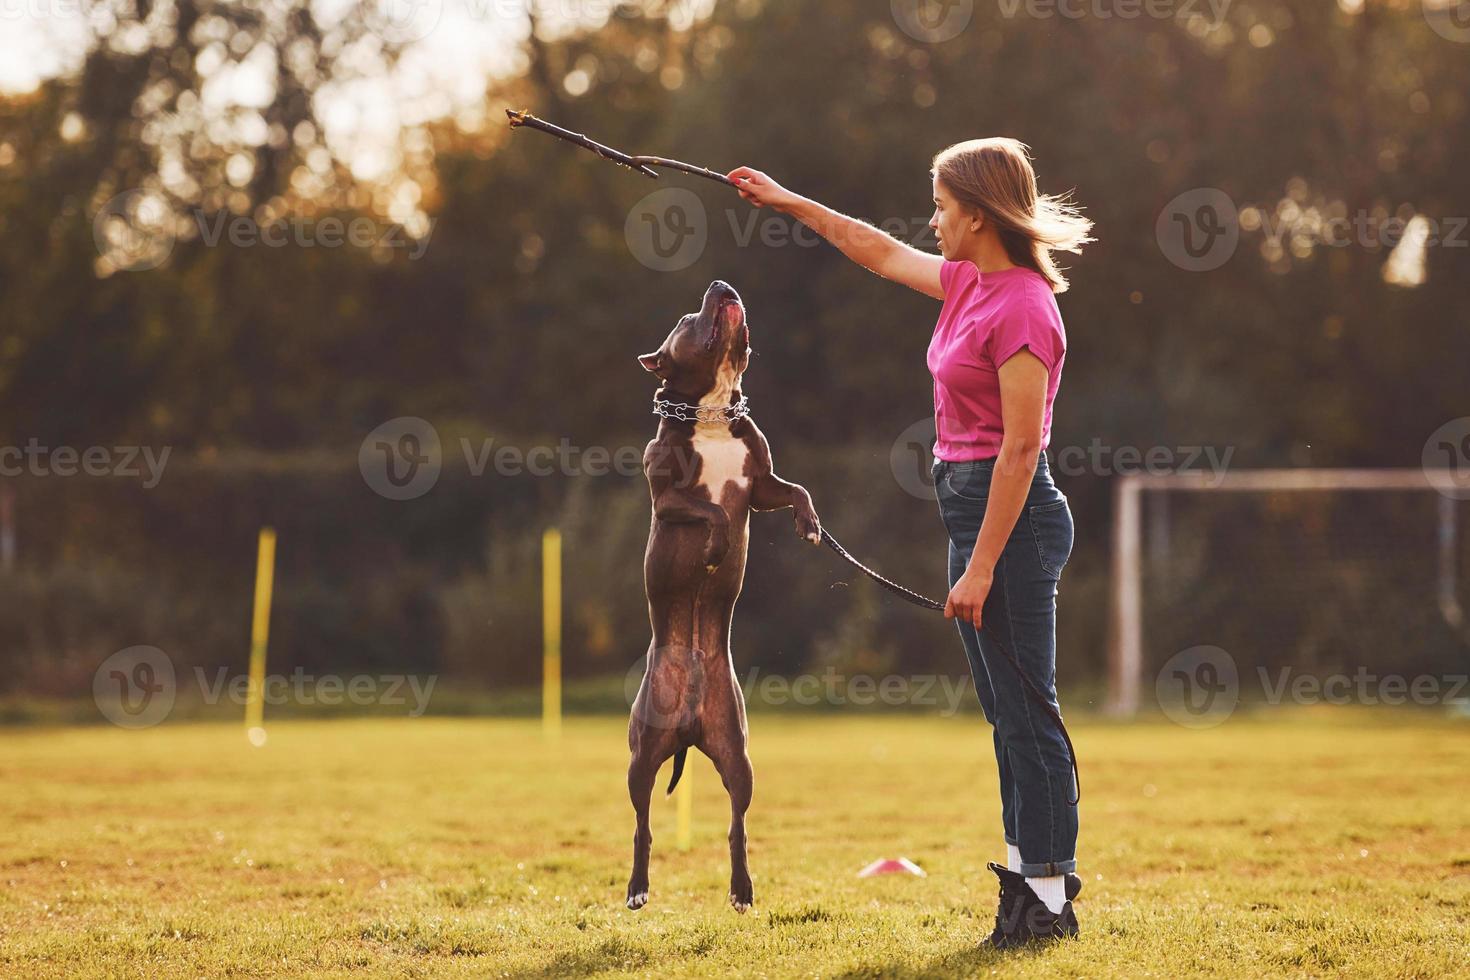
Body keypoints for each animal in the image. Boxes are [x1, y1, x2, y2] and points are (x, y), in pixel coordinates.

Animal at [626, 276, 823, 910]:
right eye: (687, 318)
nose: (719, 283)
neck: (711, 409)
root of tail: (689, 725)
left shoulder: (760, 487)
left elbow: (796, 489)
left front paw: (810, 524)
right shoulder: (668, 499)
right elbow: (709, 510)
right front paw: (714, 549)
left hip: (738, 756)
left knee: (737, 824)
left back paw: (741, 889)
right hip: (642, 755)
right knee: (642, 824)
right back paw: (637, 889)